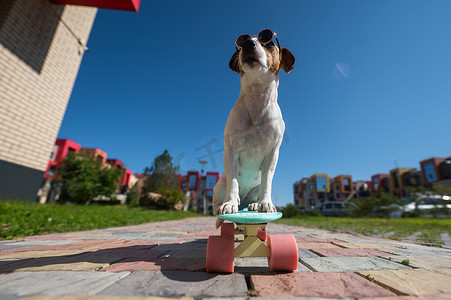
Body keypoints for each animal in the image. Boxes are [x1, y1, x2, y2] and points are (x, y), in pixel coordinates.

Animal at [213, 29, 296, 225]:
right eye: (241, 42)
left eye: (269, 43)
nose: (248, 44)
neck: (257, 99)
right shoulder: (230, 151)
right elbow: (234, 181)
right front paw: (229, 203)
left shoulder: (273, 153)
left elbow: (267, 180)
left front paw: (265, 203)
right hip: (218, 185)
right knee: (219, 200)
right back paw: (228, 204)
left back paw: (253, 204)